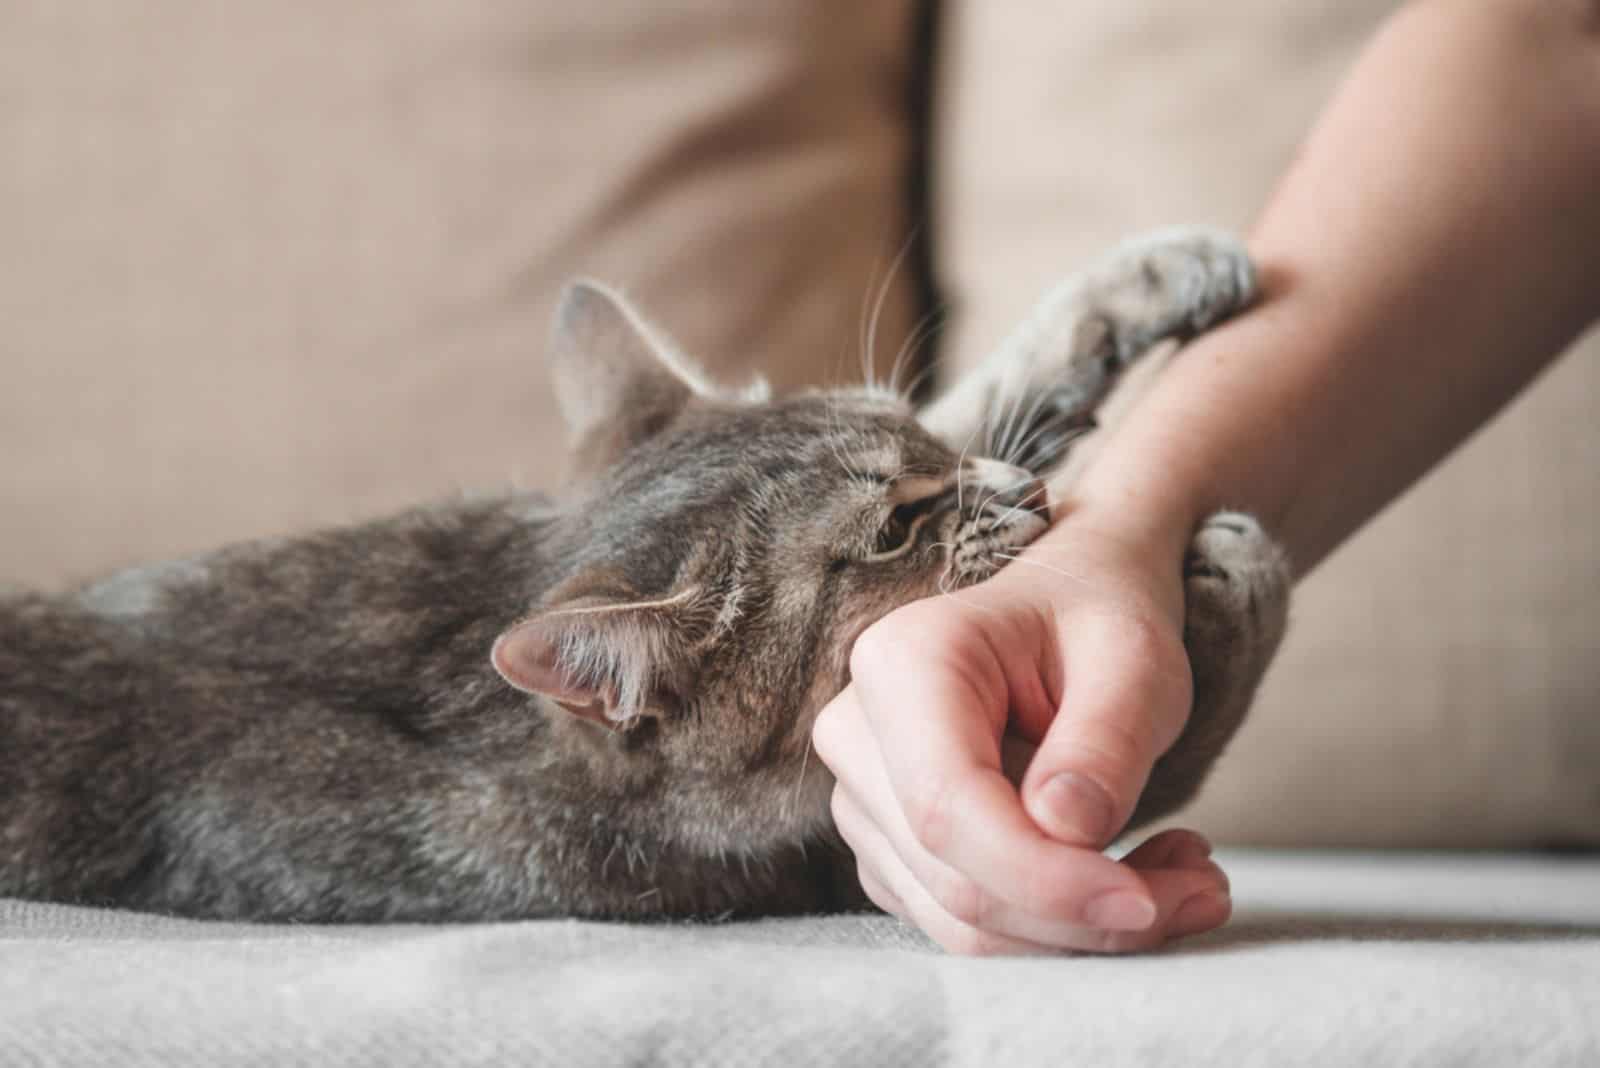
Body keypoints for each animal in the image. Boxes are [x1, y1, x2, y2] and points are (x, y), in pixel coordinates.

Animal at [0, 227, 1286, 927]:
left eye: (917, 449)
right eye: (888, 536)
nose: (1024, 496)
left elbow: (995, 387)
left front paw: (1152, 276)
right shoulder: (824, 860)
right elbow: (1171, 744)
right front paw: (1237, 585)